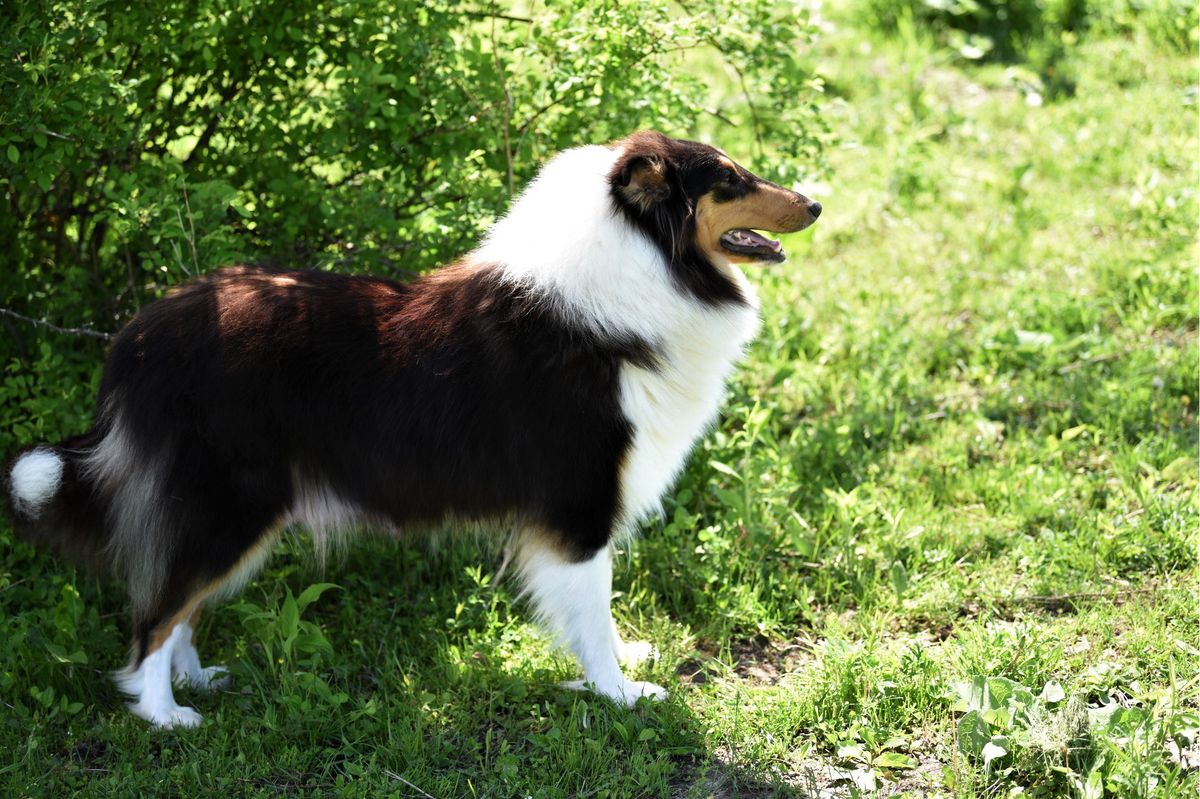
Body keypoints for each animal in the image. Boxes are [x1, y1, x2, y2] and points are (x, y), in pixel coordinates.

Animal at [4, 128, 820, 719]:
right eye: (729, 180)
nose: (813, 205)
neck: (643, 264)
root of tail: (136, 340)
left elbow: (602, 614)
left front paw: (626, 665)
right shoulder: (579, 506)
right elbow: (591, 613)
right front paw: (620, 694)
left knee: (178, 605)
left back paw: (197, 681)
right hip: (228, 504)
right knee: (154, 614)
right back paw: (164, 714)